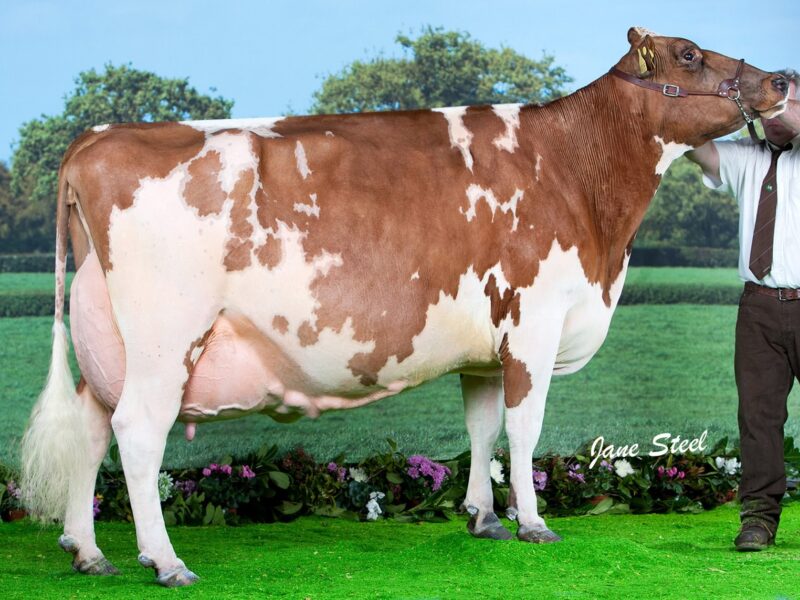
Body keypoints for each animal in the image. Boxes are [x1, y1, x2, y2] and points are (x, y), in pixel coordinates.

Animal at [21, 27, 788, 587]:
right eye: (689, 54)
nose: (781, 80)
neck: (578, 177)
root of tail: (97, 136)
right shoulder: (534, 324)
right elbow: (524, 431)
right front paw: (534, 524)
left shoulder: (486, 347)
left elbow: (482, 428)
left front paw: (483, 517)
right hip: (164, 338)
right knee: (137, 434)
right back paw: (165, 560)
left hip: (109, 344)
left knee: (91, 428)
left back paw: (88, 551)